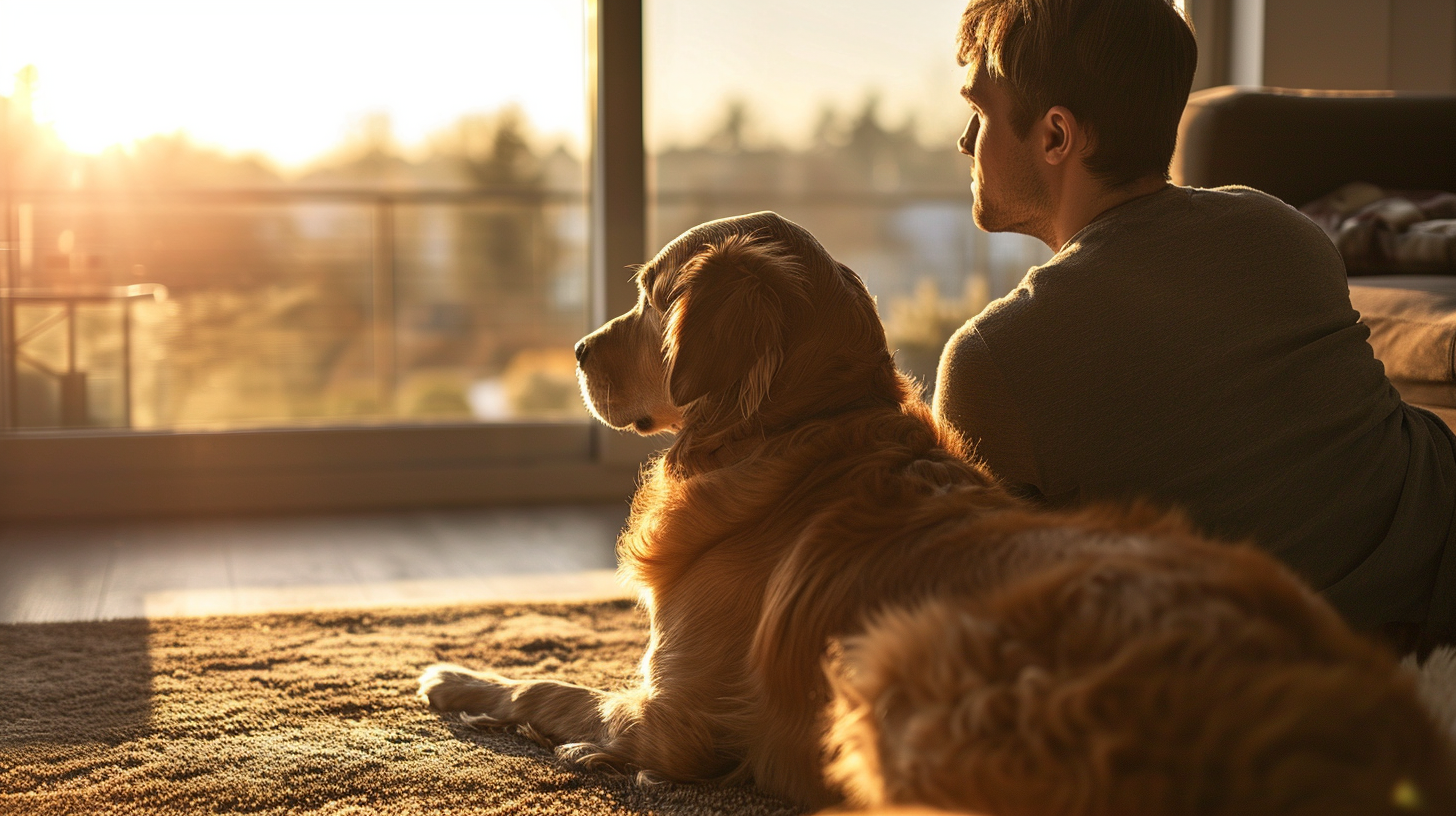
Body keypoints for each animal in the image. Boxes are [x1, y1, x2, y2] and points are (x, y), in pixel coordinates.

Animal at [422, 211, 1456, 816]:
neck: (799, 427)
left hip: (897, 660)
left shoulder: (677, 714)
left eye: (649, 295)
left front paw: (459, 681)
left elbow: (551, 688)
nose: (576, 350)